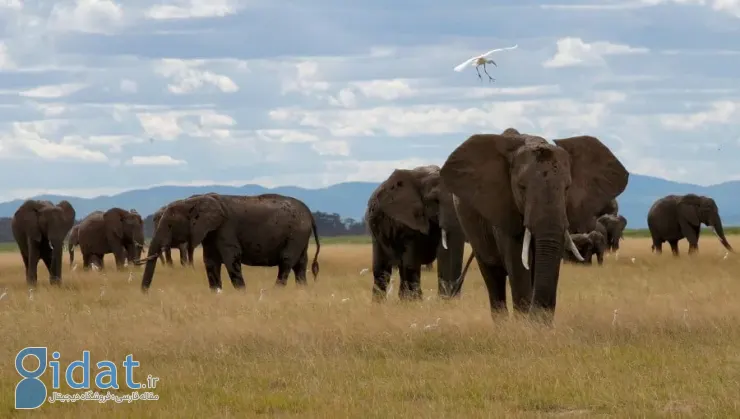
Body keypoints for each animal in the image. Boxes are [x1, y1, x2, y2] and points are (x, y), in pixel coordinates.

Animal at [137, 194, 320, 292]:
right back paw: (302, 291)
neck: (194, 201)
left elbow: (232, 259)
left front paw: (242, 294)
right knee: (300, 265)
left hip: (296, 233)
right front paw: (216, 293)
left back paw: (275, 292)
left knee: (286, 261)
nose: (145, 293)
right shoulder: (210, 233)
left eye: (170, 225)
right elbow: (210, 262)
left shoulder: (225, 228)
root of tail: (310, 214)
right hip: (300, 237)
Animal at [368, 165, 466, 302]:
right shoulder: (405, 218)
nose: (452, 298)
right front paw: (415, 302)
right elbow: (411, 261)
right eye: (435, 201)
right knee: (385, 267)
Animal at [442, 130, 628, 324]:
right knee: (492, 274)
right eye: (521, 187)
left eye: (567, 188)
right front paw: (525, 324)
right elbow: (517, 261)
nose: (538, 316)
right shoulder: (503, 206)